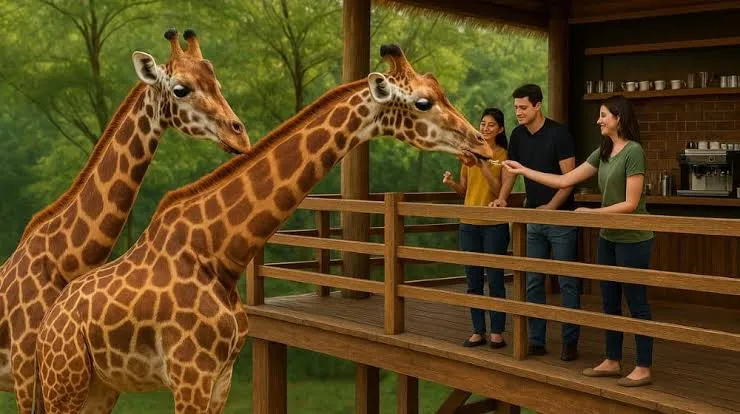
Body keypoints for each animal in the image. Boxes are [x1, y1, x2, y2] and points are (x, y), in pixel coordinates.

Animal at [36, 44, 493, 414]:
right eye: (423, 102)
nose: (482, 143)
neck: (219, 254)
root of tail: (45, 326)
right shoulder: (190, 376)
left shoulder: (221, 378)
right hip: (66, 382)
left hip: (99, 386)